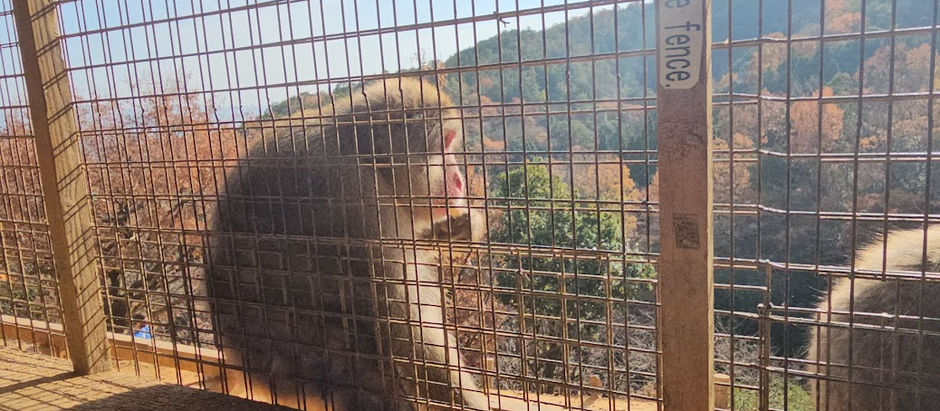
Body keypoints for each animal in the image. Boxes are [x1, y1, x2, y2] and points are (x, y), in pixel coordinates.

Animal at [206, 77, 491, 410]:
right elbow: (395, 321)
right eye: (443, 145)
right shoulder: (356, 198)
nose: (458, 179)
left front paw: (462, 225)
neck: (366, 157)